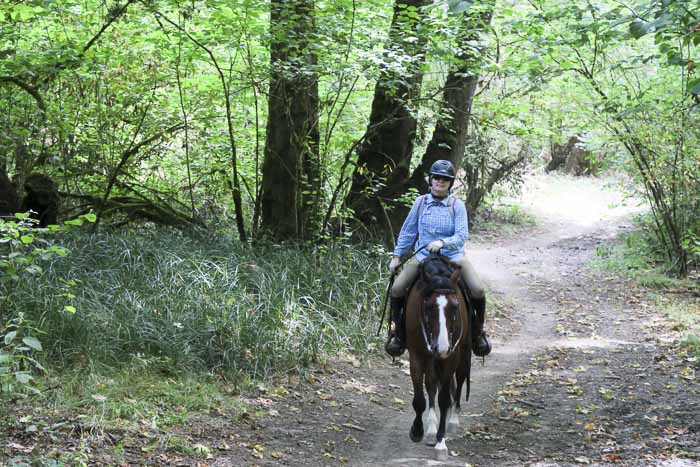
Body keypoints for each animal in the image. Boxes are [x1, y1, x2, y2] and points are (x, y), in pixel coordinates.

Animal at [404, 254, 470, 458]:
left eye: (455, 307)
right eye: (429, 306)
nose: (441, 347)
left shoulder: (450, 358)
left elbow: (444, 400)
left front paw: (441, 442)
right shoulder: (417, 356)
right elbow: (420, 399)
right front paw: (417, 431)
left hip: (461, 356)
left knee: (459, 383)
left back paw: (453, 422)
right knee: (431, 385)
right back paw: (431, 428)